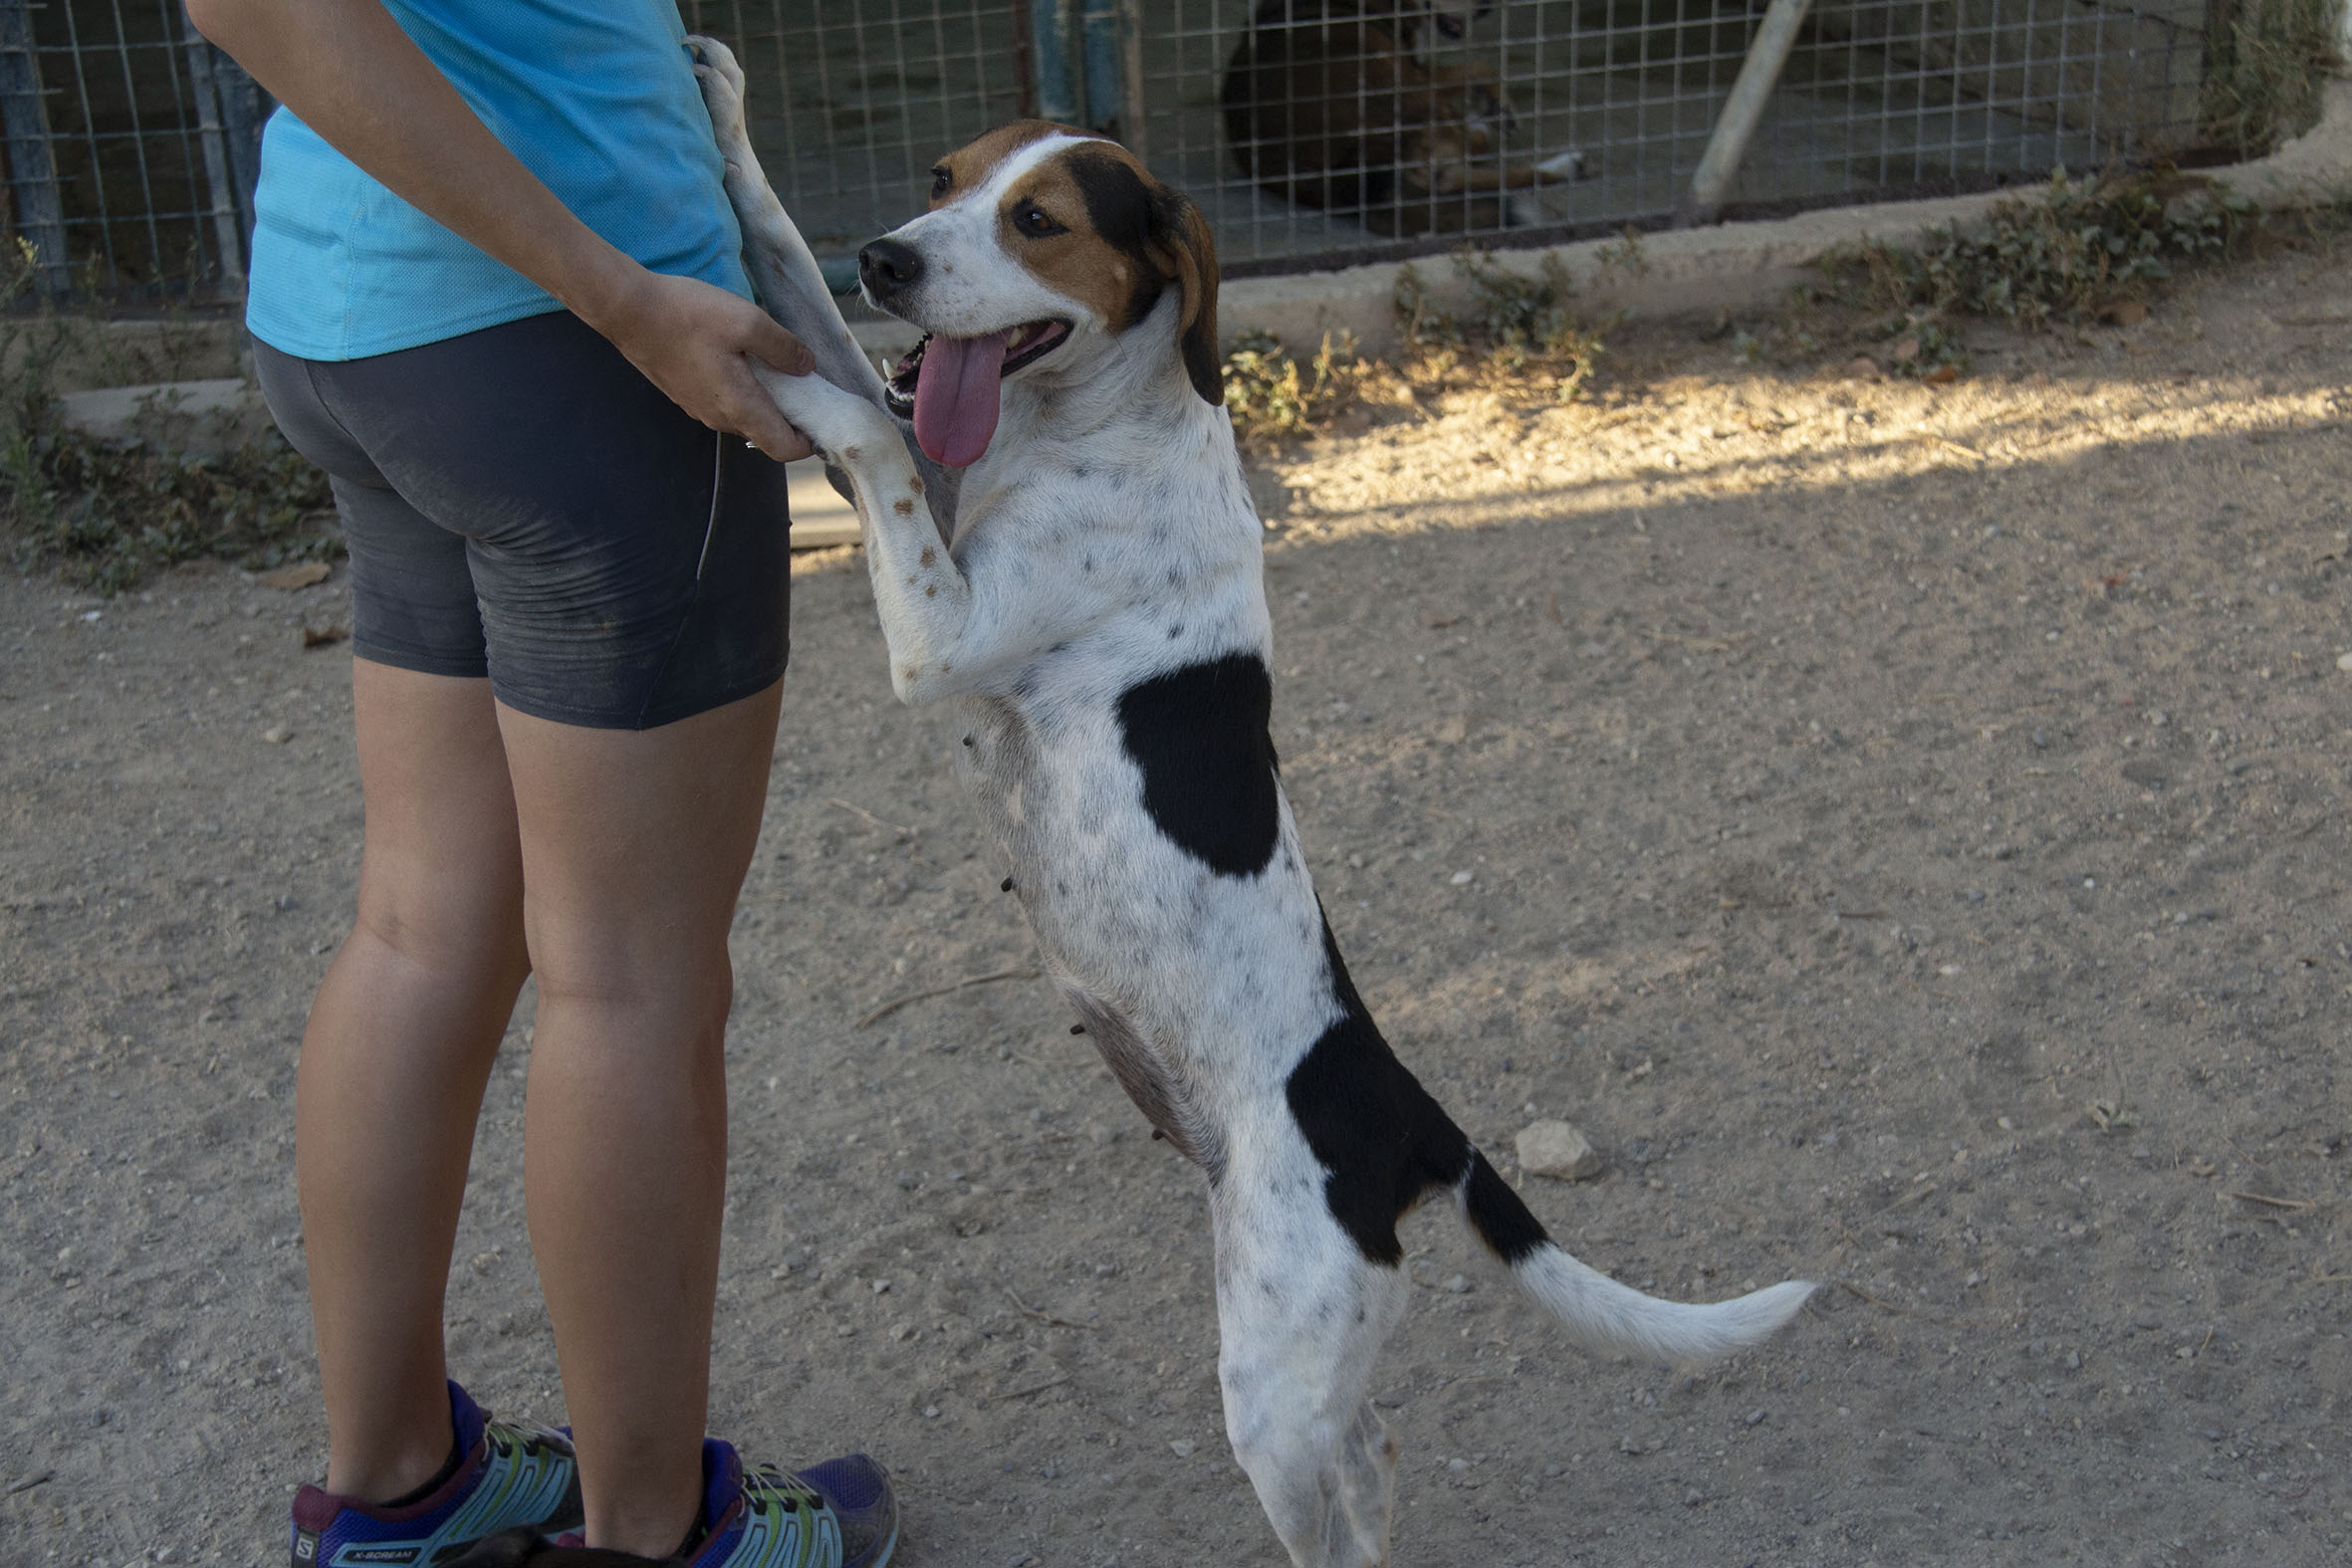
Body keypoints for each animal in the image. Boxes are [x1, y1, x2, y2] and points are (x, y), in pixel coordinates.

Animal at [466, 42, 1806, 1568]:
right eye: (941, 179)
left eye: (1039, 221)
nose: (888, 258)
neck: (1085, 425)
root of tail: (1415, 1115)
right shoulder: (932, 481)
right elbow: (800, 280)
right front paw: (728, 118)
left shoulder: (936, 624)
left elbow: (865, 418)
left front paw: (784, 383)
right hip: (1305, 1353)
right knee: (1377, 1457)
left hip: (1270, 1379)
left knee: (1330, 1512)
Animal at [1221, 0, 1584, 237]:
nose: (1487, 8)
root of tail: (1350, 172)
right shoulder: (1419, 75)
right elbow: (1478, 67)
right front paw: (1499, 106)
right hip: (1414, 97)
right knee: (1468, 165)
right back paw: (1561, 164)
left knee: (1450, 179)